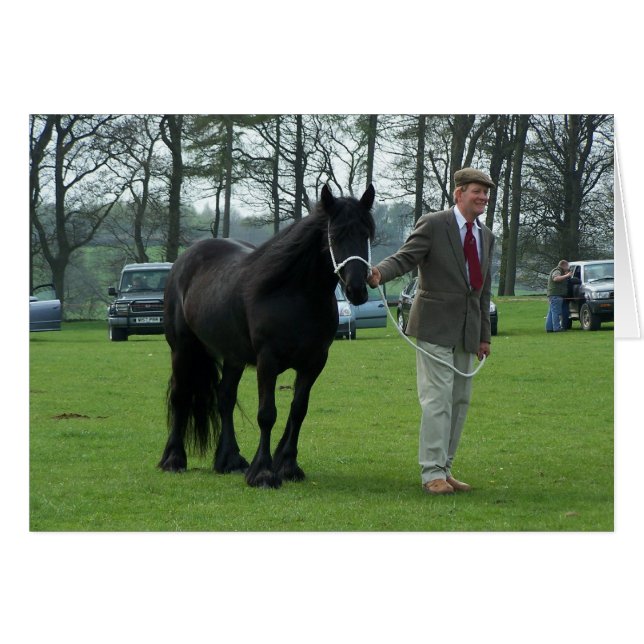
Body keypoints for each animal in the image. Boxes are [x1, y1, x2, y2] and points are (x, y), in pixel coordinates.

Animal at [158, 184, 376, 488]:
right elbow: (267, 414)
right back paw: (173, 459)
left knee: (225, 398)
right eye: (334, 236)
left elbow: (298, 411)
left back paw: (230, 460)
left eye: (366, 234)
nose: (357, 289)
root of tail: (183, 261)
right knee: (180, 396)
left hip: (233, 356)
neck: (294, 295)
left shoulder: (314, 363)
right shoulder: (267, 361)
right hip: (182, 348)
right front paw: (262, 472)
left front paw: (287, 465)